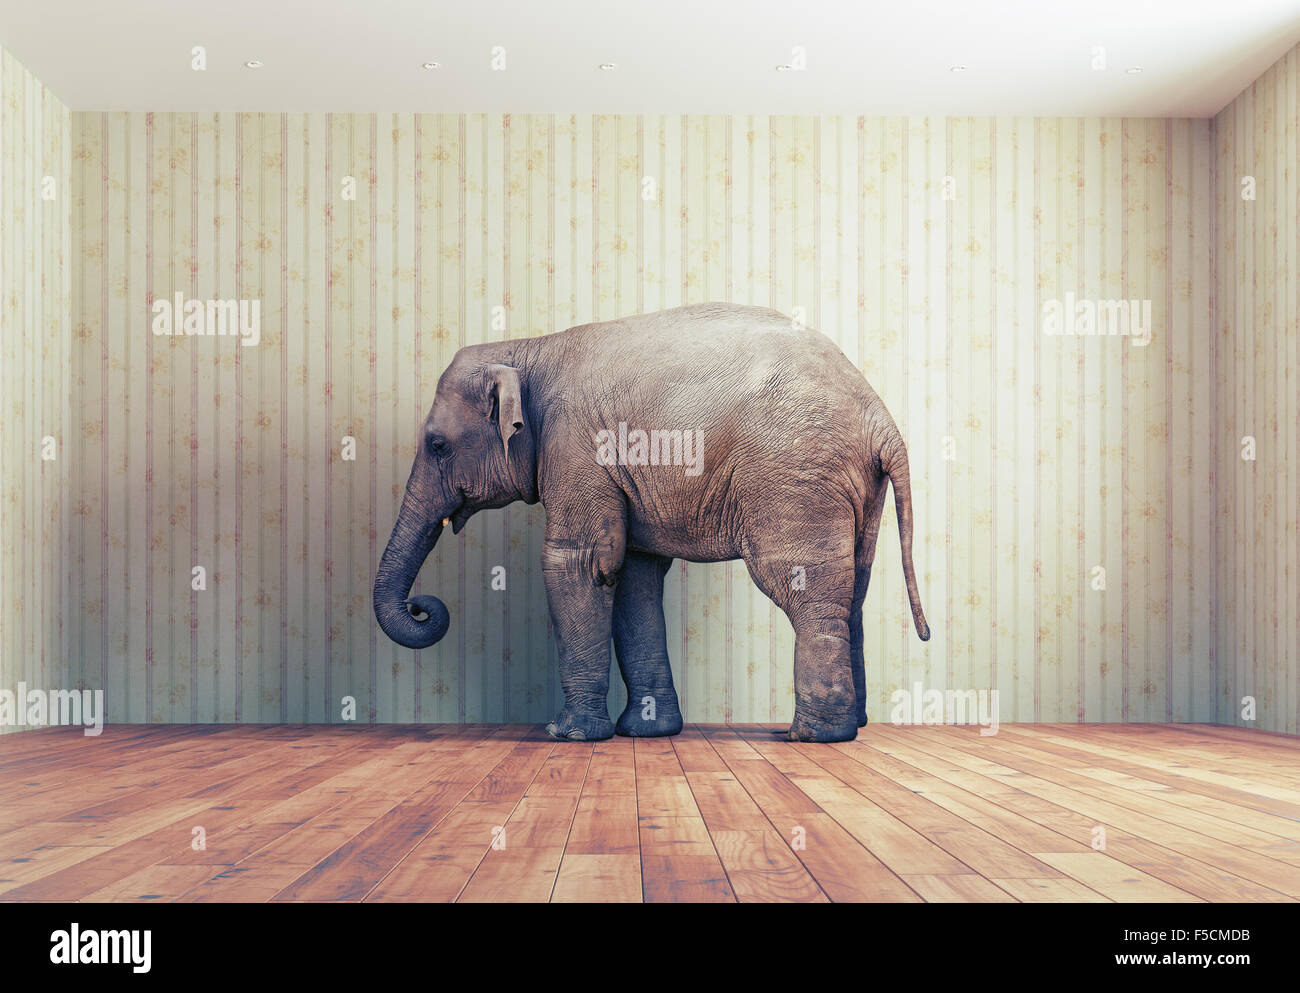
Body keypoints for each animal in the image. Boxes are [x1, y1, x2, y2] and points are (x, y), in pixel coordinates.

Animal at [373, 302, 930, 743]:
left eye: (437, 446)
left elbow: (578, 565)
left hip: (793, 476)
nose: (423, 607)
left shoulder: (575, 446)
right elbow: (632, 576)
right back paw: (852, 727)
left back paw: (812, 736)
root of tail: (880, 416)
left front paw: (568, 734)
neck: (527, 348)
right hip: (856, 489)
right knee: (853, 588)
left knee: (804, 588)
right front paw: (646, 731)